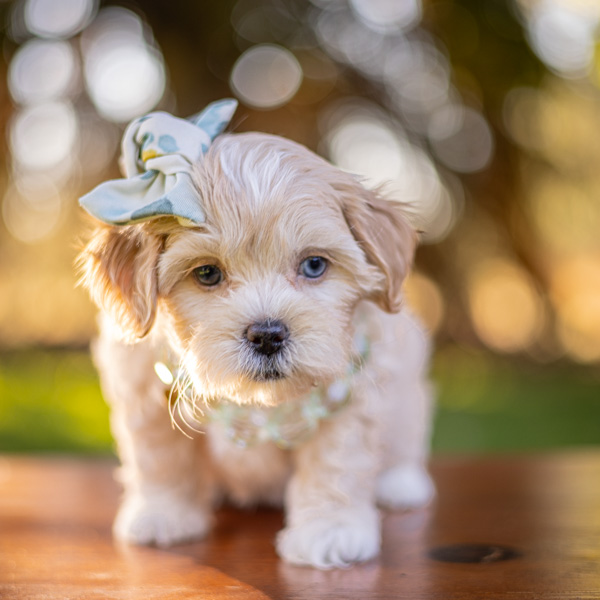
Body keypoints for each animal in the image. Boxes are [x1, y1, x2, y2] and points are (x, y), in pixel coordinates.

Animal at [78, 111, 436, 568]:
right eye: (207, 273)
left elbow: (337, 462)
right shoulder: (142, 385)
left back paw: (400, 483)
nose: (267, 335)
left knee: (408, 432)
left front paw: (330, 530)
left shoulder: (355, 391)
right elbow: (159, 455)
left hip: (408, 383)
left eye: (314, 265)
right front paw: (163, 513)